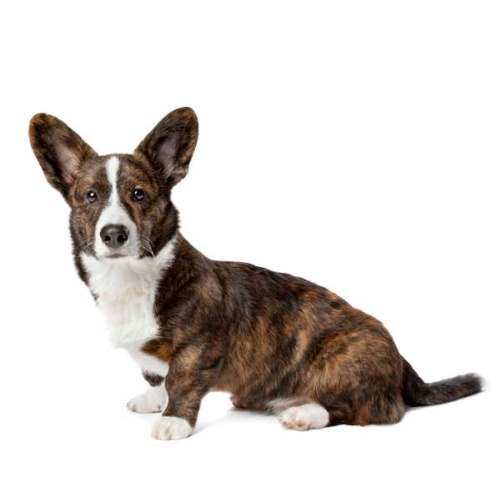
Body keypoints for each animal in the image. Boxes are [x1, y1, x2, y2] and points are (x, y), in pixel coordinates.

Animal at [29, 108, 482, 438]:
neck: (134, 277)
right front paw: (152, 398)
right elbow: (156, 375)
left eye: (139, 195)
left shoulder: (198, 347)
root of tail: (402, 360)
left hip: (346, 358)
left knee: (376, 409)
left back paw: (306, 413)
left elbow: (182, 380)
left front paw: (173, 419)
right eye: (90, 196)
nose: (114, 234)